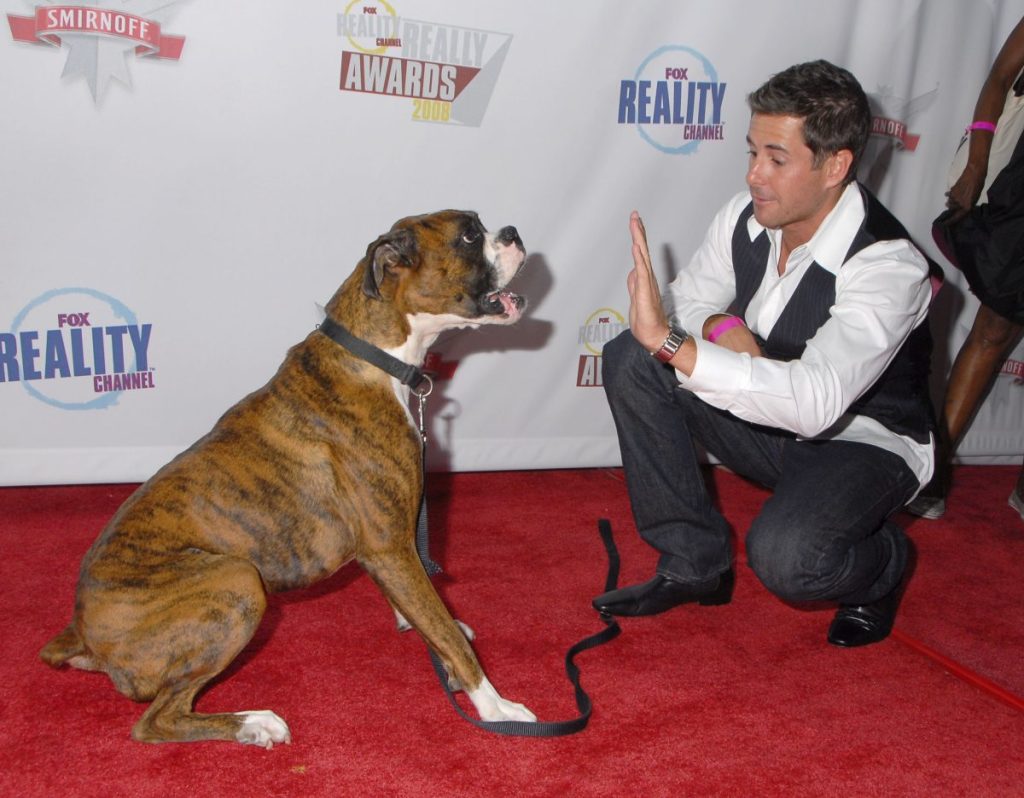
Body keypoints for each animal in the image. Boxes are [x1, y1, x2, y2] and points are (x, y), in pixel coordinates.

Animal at [39, 208, 536, 745]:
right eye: (468, 235)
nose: (513, 232)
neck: (373, 355)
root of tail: (81, 632)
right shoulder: (390, 545)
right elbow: (446, 633)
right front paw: (494, 704)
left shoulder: (390, 551)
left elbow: (428, 612)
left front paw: (428, 632)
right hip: (236, 580)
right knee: (157, 720)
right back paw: (253, 722)